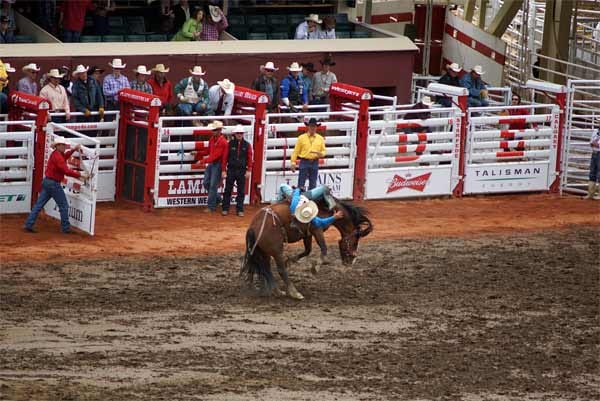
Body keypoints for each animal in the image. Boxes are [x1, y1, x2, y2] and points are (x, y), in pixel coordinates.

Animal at [240, 197, 372, 300]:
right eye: (355, 241)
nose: (351, 261)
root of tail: (253, 228)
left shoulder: (307, 234)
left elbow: (307, 250)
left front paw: (291, 261)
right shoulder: (317, 229)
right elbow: (324, 248)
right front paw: (316, 267)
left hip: (264, 251)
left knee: (266, 269)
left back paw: (276, 290)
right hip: (276, 250)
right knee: (280, 270)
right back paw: (294, 292)